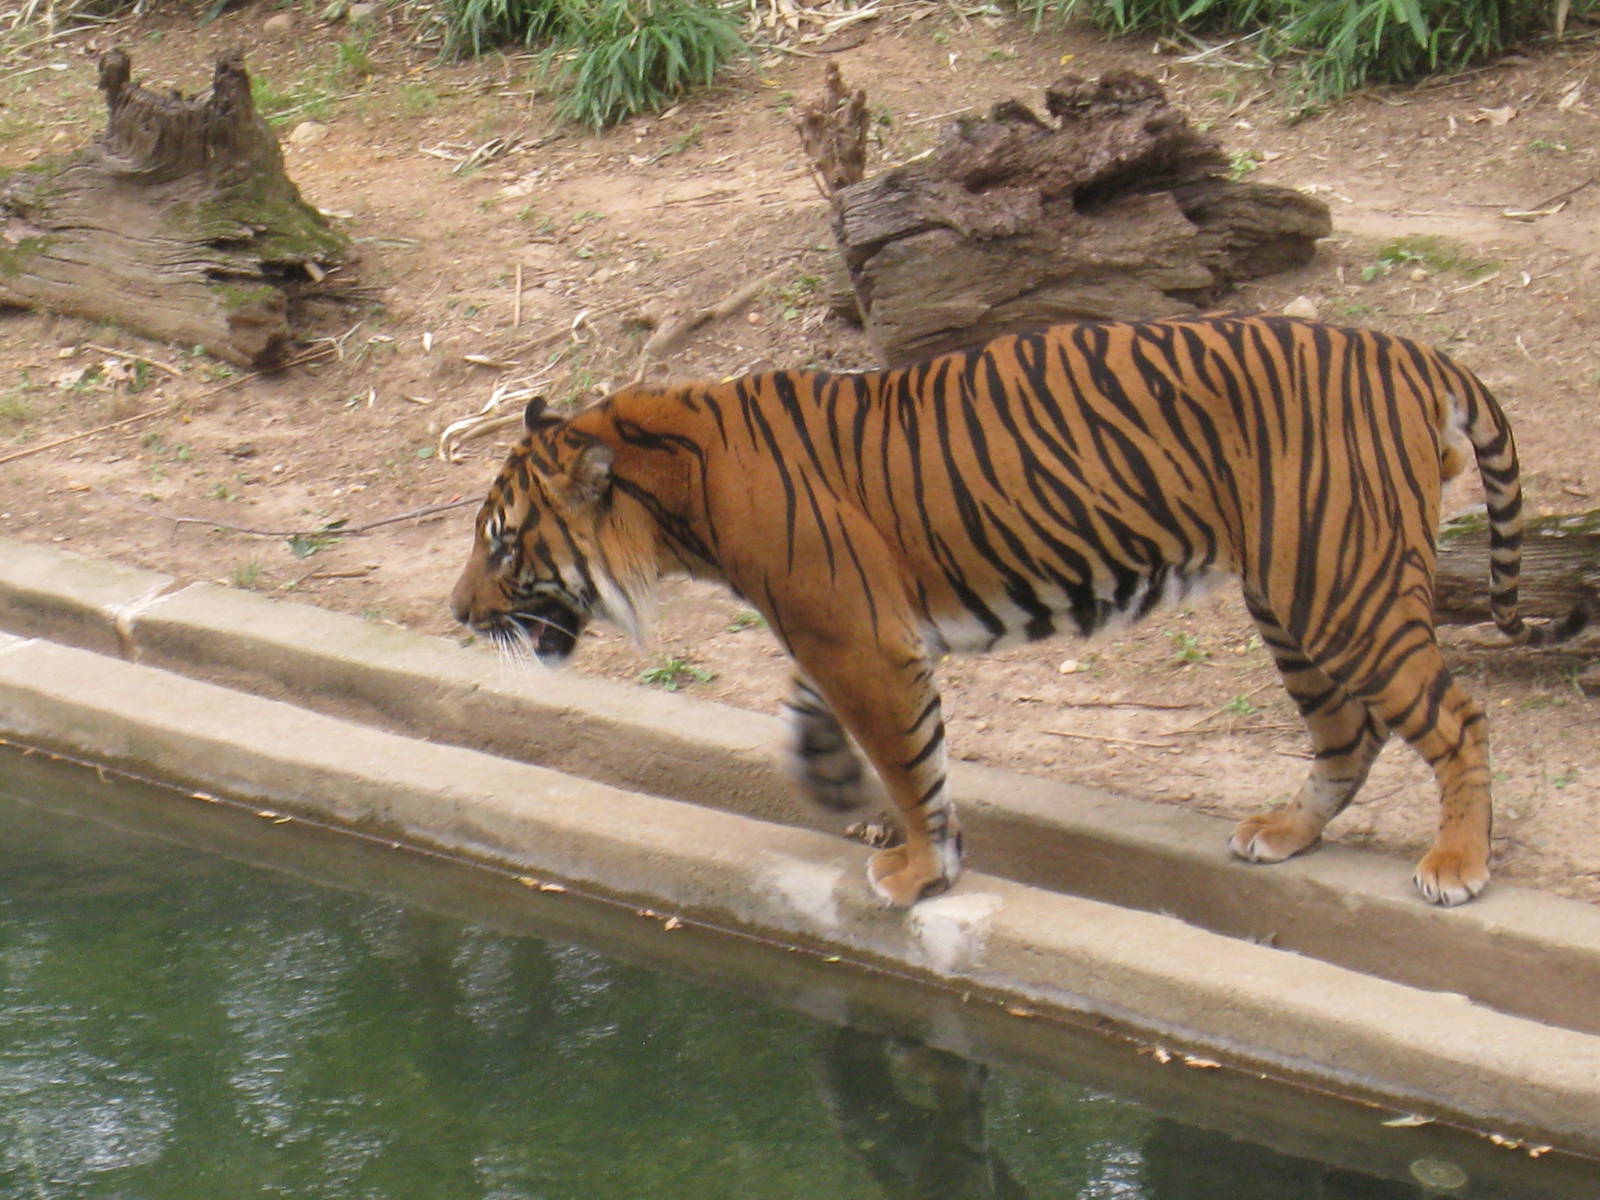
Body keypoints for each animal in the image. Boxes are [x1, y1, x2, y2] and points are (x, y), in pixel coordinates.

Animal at [449, 314, 1587, 909]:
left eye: (503, 546)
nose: (456, 612)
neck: (672, 486)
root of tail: (1410, 349)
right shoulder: (850, 628)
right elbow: (843, 729)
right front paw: (845, 794)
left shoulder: (858, 640)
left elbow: (912, 758)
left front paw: (913, 867)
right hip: (1291, 598)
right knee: (1347, 732)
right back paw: (1283, 832)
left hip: (1340, 584)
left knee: (1456, 717)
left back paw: (1457, 865)